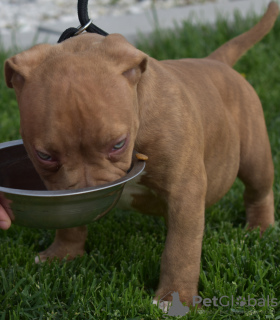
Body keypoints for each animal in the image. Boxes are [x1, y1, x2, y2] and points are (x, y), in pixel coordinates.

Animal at [4, 2, 278, 308]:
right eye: (45, 155)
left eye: (118, 145)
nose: (90, 190)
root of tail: (216, 61)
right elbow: (69, 222)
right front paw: (62, 253)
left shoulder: (185, 191)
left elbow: (181, 249)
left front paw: (175, 298)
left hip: (255, 156)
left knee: (259, 191)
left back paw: (260, 228)